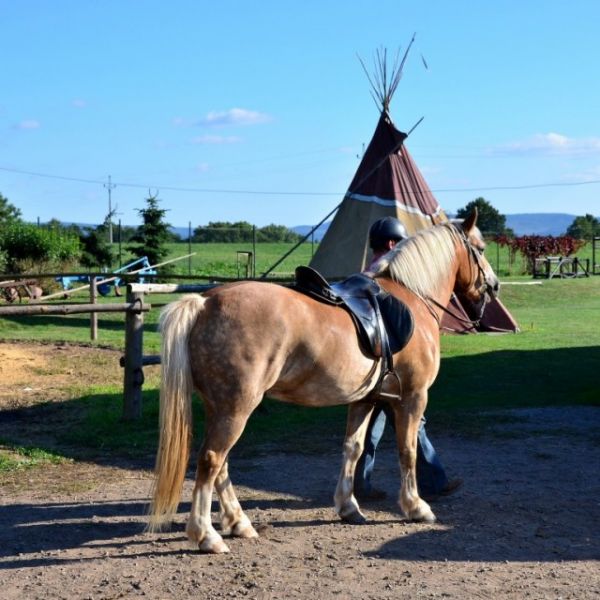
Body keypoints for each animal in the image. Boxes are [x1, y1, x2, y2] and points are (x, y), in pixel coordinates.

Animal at [148, 210, 500, 552]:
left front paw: (348, 507)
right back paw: (206, 534)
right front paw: (416, 506)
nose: (494, 285)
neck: (412, 297)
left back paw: (239, 523)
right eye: (481, 249)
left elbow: (353, 448)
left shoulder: (366, 400)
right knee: (211, 461)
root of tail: (205, 302)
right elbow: (408, 450)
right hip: (235, 408)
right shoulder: (413, 397)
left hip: (221, 408)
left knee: (221, 465)